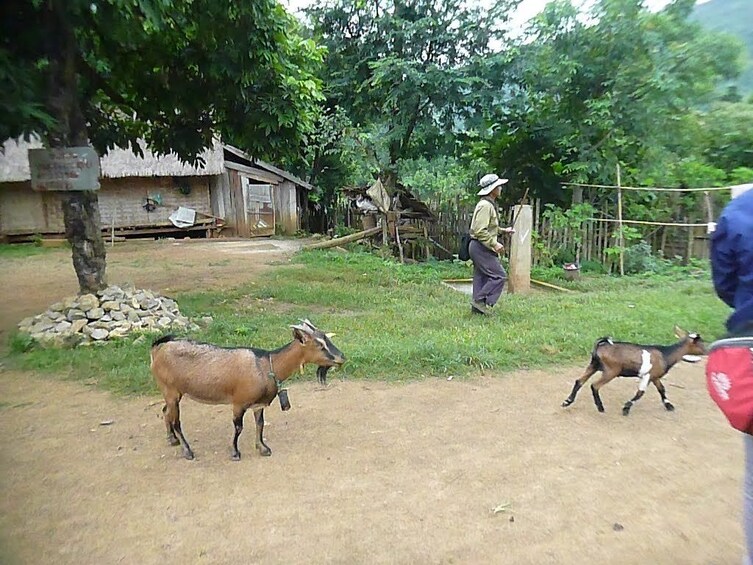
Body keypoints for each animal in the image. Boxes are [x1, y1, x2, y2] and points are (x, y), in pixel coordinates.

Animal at [150, 318, 344, 458]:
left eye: (326, 338)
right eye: (319, 345)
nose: (342, 357)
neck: (266, 366)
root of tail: (158, 347)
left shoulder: (258, 404)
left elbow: (260, 425)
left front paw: (263, 448)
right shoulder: (239, 403)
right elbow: (238, 427)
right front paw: (235, 452)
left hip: (171, 392)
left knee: (166, 411)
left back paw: (172, 439)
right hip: (171, 390)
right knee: (176, 421)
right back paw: (187, 450)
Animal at [560, 326, 704, 414]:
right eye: (701, 343)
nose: (707, 349)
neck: (666, 354)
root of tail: (601, 345)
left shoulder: (654, 376)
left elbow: (661, 389)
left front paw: (669, 405)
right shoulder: (647, 376)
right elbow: (640, 393)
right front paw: (626, 408)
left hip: (594, 365)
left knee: (579, 381)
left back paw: (567, 401)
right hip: (611, 371)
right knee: (594, 385)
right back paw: (600, 407)